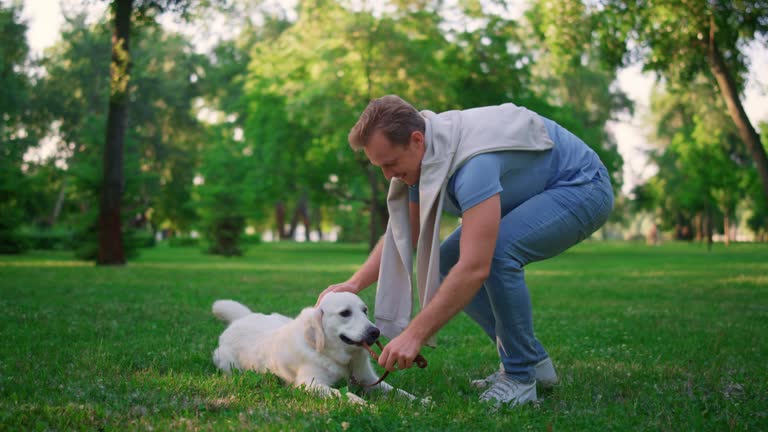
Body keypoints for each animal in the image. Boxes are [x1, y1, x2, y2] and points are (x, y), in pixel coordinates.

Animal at [213, 292, 416, 404]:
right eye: (345, 313)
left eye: (364, 310)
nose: (375, 331)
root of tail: (241, 318)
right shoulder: (310, 383)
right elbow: (342, 394)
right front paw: (363, 404)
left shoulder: (369, 380)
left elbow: (399, 391)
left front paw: (420, 401)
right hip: (229, 365)